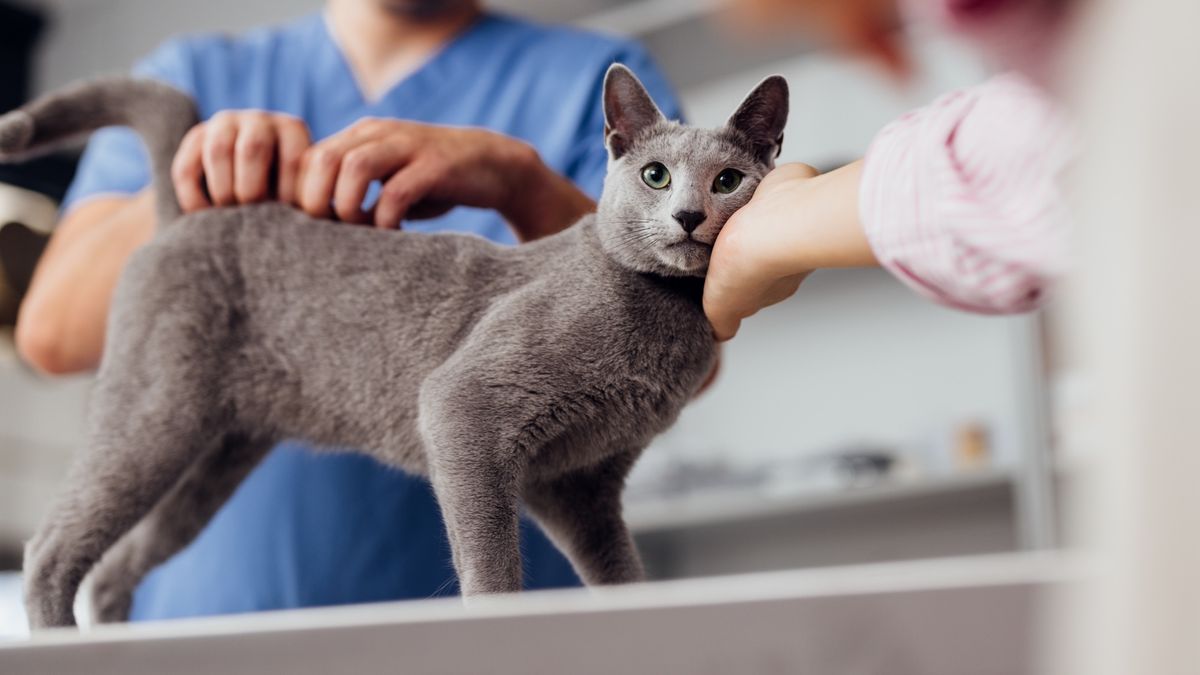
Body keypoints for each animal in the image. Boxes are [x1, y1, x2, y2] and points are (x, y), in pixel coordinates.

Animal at [0, 64, 787, 624]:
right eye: (656, 175)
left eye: (728, 181)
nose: (688, 215)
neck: (663, 315)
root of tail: (183, 215)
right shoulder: (463, 408)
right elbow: (491, 561)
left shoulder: (578, 483)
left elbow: (619, 572)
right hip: (157, 409)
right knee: (51, 550)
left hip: (214, 455)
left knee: (115, 566)